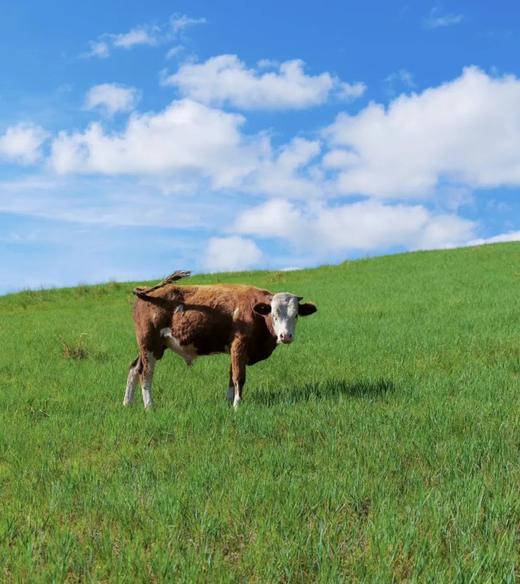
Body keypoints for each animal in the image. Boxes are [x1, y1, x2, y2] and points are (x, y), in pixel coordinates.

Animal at [123, 272, 316, 408]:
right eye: (274, 314)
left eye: (296, 315)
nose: (286, 336)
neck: (255, 313)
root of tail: (145, 291)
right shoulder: (239, 345)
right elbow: (239, 377)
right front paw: (237, 405)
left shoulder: (235, 349)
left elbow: (231, 376)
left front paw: (229, 402)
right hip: (149, 344)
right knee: (145, 373)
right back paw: (149, 406)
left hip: (153, 346)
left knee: (134, 368)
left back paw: (127, 404)